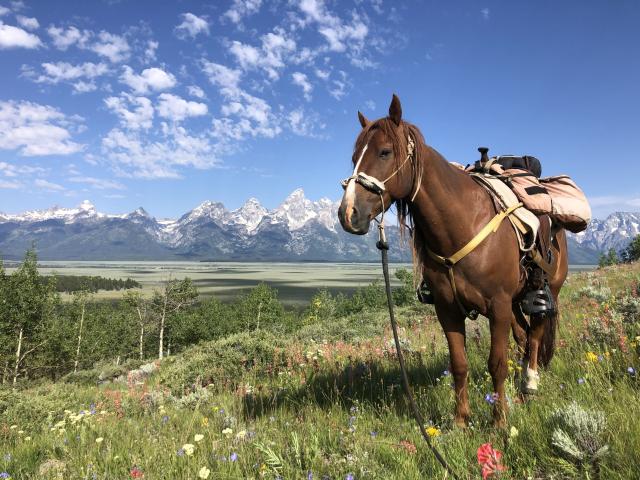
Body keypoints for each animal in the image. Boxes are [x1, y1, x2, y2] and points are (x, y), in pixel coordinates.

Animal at [338, 94, 568, 428]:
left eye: (384, 152)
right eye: (354, 156)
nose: (348, 214)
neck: (462, 225)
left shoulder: (498, 306)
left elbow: (497, 363)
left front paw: (499, 421)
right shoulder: (448, 309)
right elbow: (459, 364)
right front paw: (461, 420)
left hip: (545, 291)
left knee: (536, 335)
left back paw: (529, 384)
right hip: (514, 302)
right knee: (523, 335)